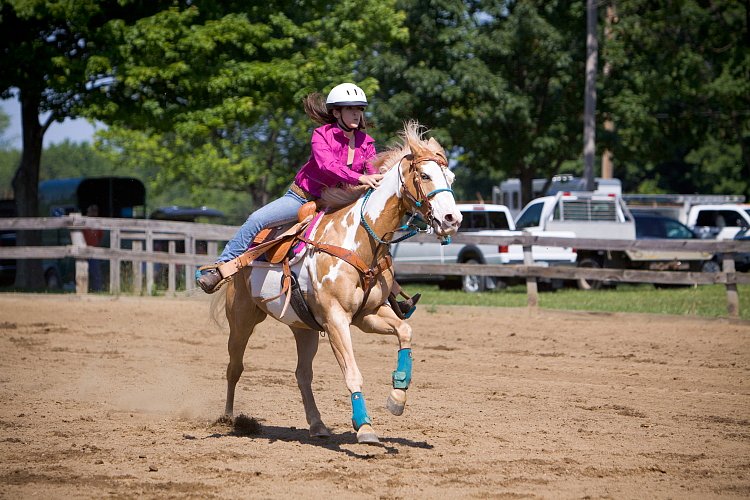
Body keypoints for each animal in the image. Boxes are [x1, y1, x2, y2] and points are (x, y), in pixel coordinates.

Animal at [217, 123, 462, 444]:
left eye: (451, 177)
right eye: (424, 175)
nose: (452, 219)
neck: (359, 240)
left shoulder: (368, 315)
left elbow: (405, 331)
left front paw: (397, 396)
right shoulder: (336, 320)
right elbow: (353, 372)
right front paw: (365, 426)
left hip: (304, 328)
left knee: (302, 374)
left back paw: (317, 425)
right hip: (242, 317)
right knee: (235, 367)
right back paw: (229, 418)